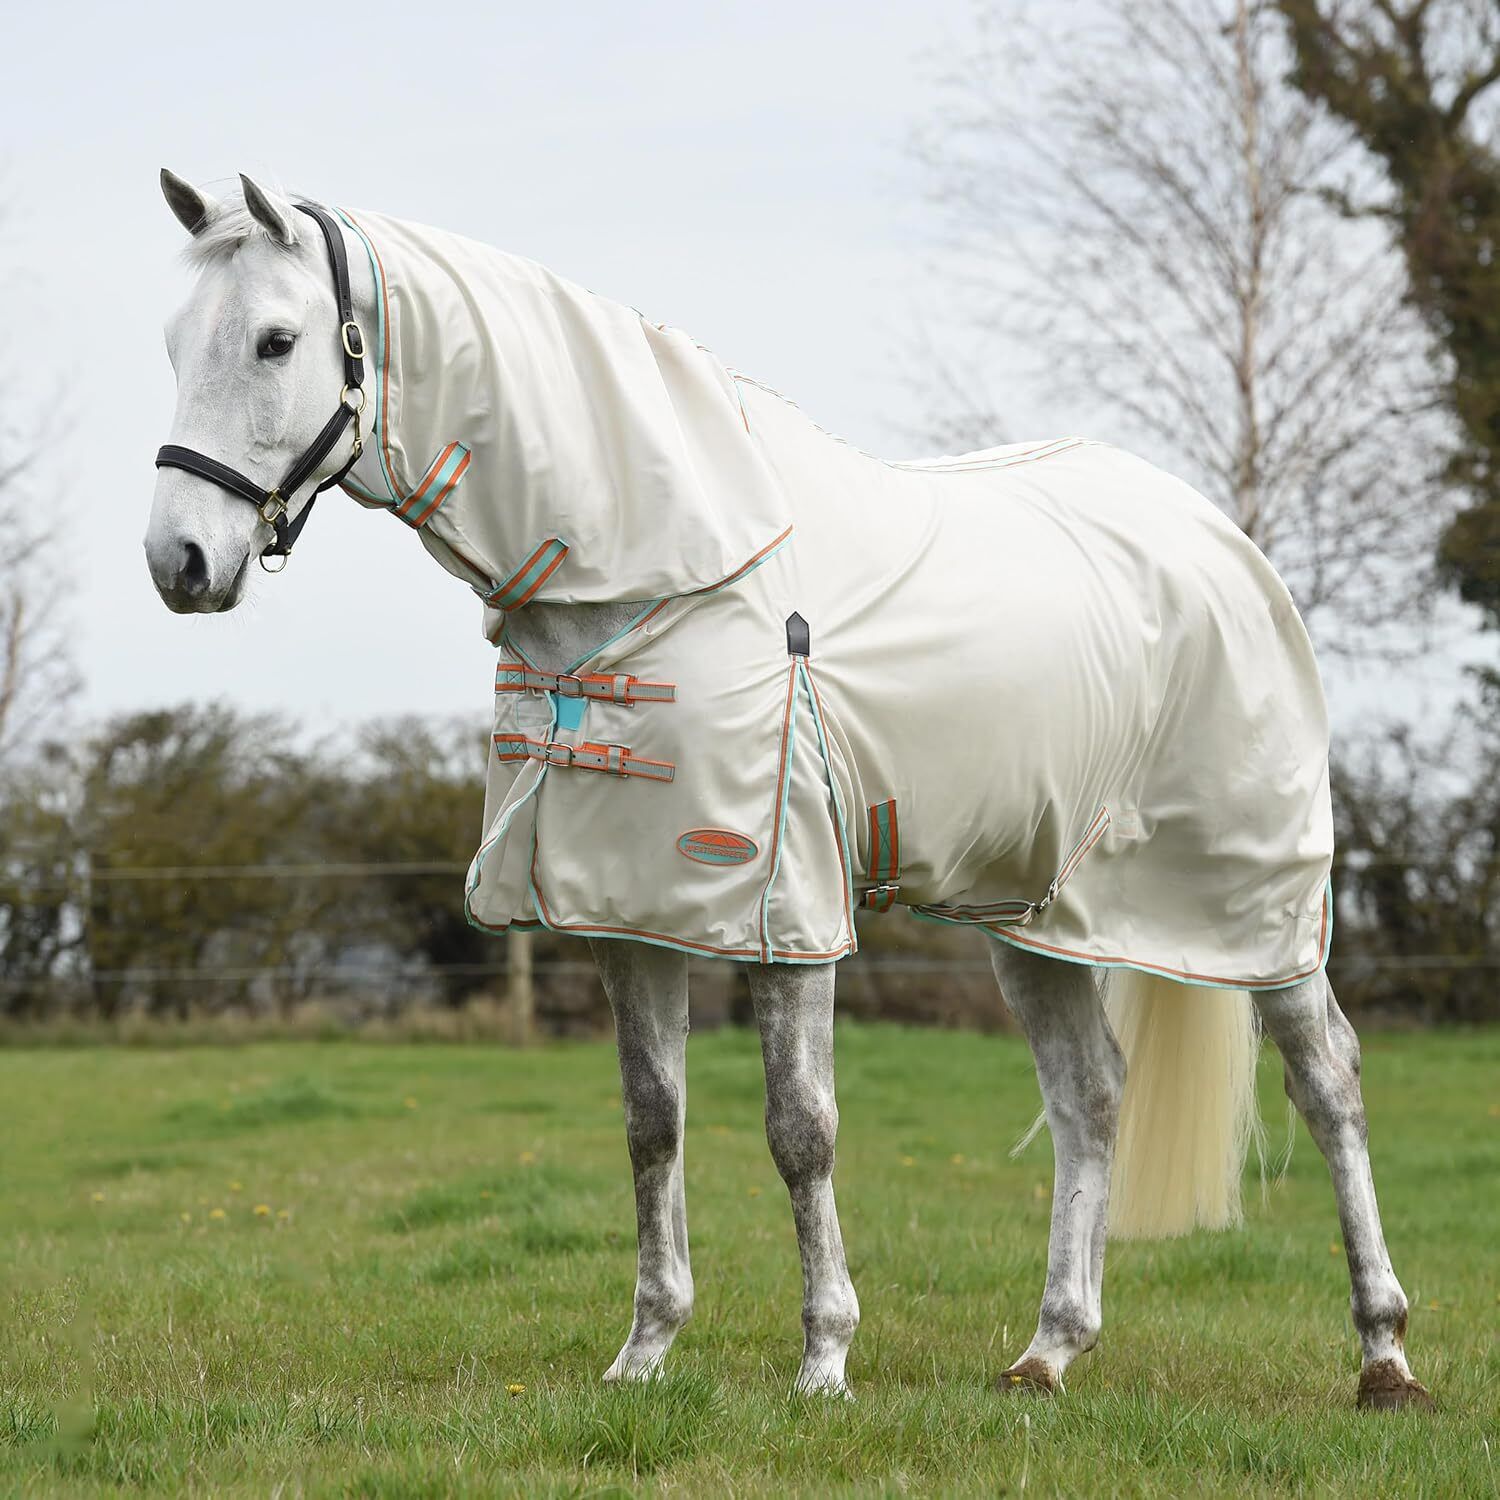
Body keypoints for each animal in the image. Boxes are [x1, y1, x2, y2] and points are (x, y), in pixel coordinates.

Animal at [144, 170, 1432, 1410]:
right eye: (172, 340)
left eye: (274, 340)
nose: (178, 564)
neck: (669, 564)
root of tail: (1222, 541)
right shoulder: (627, 914)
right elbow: (650, 1126)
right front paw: (645, 1352)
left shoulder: (783, 912)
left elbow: (799, 1132)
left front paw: (824, 1360)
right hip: (1038, 913)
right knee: (1091, 1097)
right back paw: (1048, 1354)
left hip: (1258, 901)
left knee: (1330, 1082)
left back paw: (1384, 1357)